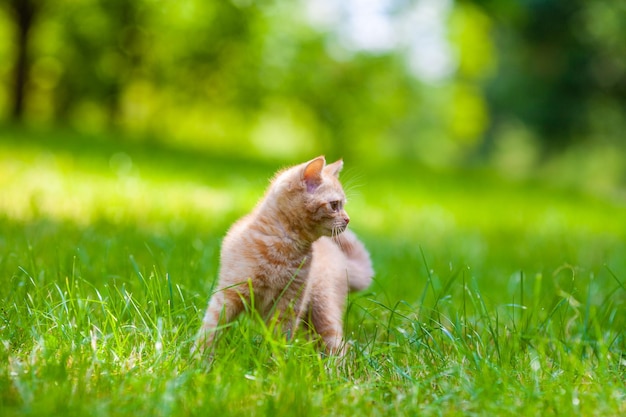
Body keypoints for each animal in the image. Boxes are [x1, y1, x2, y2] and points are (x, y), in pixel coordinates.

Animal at [194, 155, 370, 354]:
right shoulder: (229, 294)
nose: (348, 219)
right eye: (334, 205)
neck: (282, 249)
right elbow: (211, 328)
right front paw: (199, 357)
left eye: (342, 205)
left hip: (323, 310)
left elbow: (280, 338)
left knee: (337, 344)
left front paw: (277, 360)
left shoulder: (289, 304)